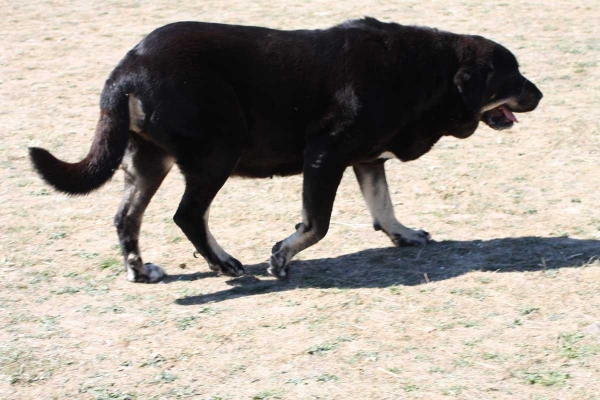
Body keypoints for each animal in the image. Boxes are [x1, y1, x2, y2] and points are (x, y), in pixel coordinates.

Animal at [28, 18, 544, 282]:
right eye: (513, 76)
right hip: (220, 149)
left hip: (150, 161)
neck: (428, 72)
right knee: (189, 215)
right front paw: (281, 257)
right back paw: (223, 263)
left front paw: (404, 234)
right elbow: (316, 224)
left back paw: (140, 270)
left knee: (126, 217)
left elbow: (383, 207)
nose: (540, 94)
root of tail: (126, 68)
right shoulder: (325, 156)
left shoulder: (366, 159)